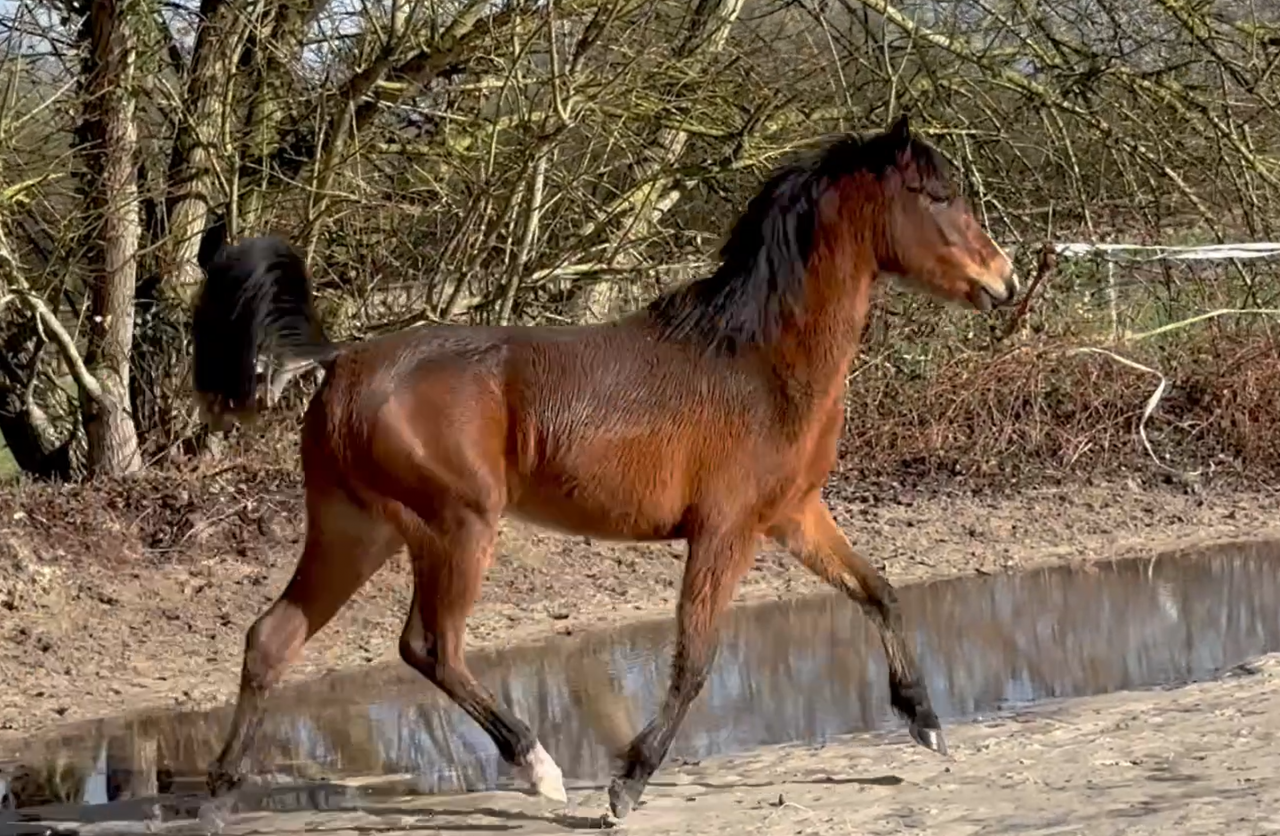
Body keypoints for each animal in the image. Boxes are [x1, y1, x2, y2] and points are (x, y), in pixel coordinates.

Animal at [191, 113, 1017, 821]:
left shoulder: (793, 515)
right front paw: (628, 783)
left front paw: (925, 722)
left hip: (357, 530)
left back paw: (219, 795)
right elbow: (694, 659)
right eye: (938, 195)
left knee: (272, 638)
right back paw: (541, 770)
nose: (1003, 280)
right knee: (428, 646)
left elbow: (879, 592)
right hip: (455, 528)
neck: (757, 362)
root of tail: (338, 362)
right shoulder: (726, 532)